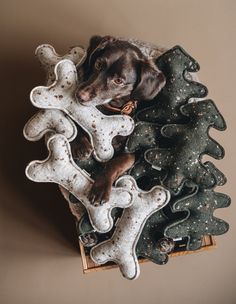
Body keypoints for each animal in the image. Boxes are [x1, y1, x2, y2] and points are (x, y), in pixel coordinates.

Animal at [74, 36, 166, 207]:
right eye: (98, 64)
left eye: (118, 81)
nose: (80, 95)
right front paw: (80, 144)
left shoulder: (130, 152)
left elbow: (114, 163)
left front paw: (101, 187)